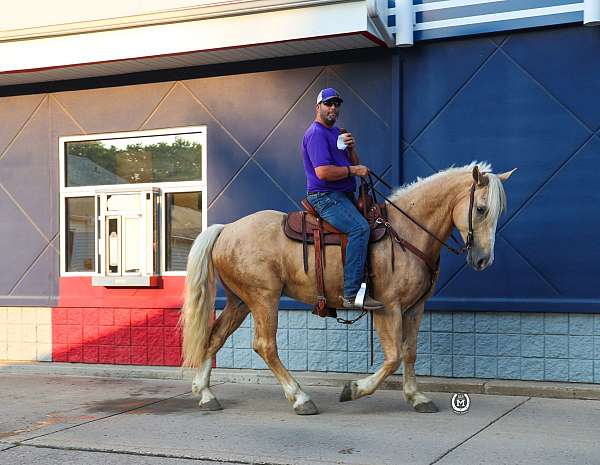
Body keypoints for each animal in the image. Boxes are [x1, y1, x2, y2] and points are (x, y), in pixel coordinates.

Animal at [180, 162, 512, 414]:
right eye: (481, 209)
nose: (483, 259)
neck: (406, 232)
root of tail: (225, 229)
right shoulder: (388, 308)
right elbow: (393, 356)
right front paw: (354, 389)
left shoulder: (415, 307)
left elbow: (409, 352)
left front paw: (417, 397)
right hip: (264, 298)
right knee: (265, 345)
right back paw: (300, 398)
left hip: (239, 301)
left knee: (214, 337)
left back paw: (205, 394)